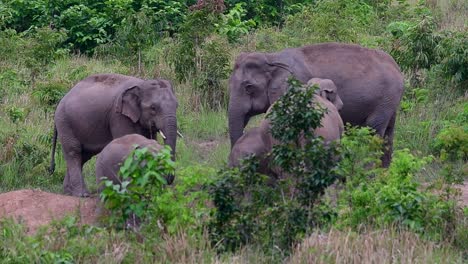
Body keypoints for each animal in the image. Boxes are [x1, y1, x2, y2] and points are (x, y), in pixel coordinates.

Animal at [50, 73, 179, 197]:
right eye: (153, 108)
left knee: (83, 155)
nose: (169, 179)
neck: (142, 83)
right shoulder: (118, 116)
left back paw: (68, 192)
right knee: (74, 152)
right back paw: (82, 194)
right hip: (65, 123)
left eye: (177, 106)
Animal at [229, 43, 404, 167]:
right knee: (389, 133)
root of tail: (397, 67)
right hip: (390, 102)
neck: (271, 57)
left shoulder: (293, 85)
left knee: (374, 130)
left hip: (385, 99)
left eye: (248, 87)